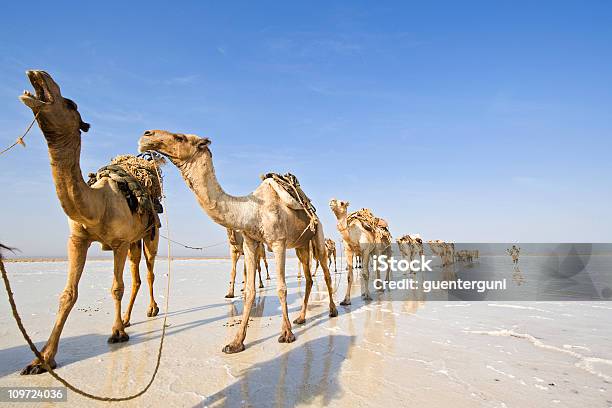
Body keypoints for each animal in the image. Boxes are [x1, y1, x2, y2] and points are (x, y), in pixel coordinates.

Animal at [20, 70, 160, 372]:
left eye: (71, 104)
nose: (39, 73)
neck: (98, 205)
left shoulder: (118, 242)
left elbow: (116, 287)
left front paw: (116, 333)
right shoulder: (78, 239)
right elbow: (67, 294)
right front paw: (42, 359)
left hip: (149, 234)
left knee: (149, 270)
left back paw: (151, 309)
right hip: (133, 242)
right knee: (137, 275)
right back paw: (128, 318)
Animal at [139, 129, 340, 352]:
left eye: (180, 137)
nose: (147, 135)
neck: (251, 211)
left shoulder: (278, 242)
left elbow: (281, 287)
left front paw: (287, 334)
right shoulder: (250, 243)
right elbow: (250, 291)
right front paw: (236, 342)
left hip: (318, 235)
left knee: (326, 272)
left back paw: (332, 310)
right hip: (301, 246)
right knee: (309, 277)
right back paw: (301, 318)